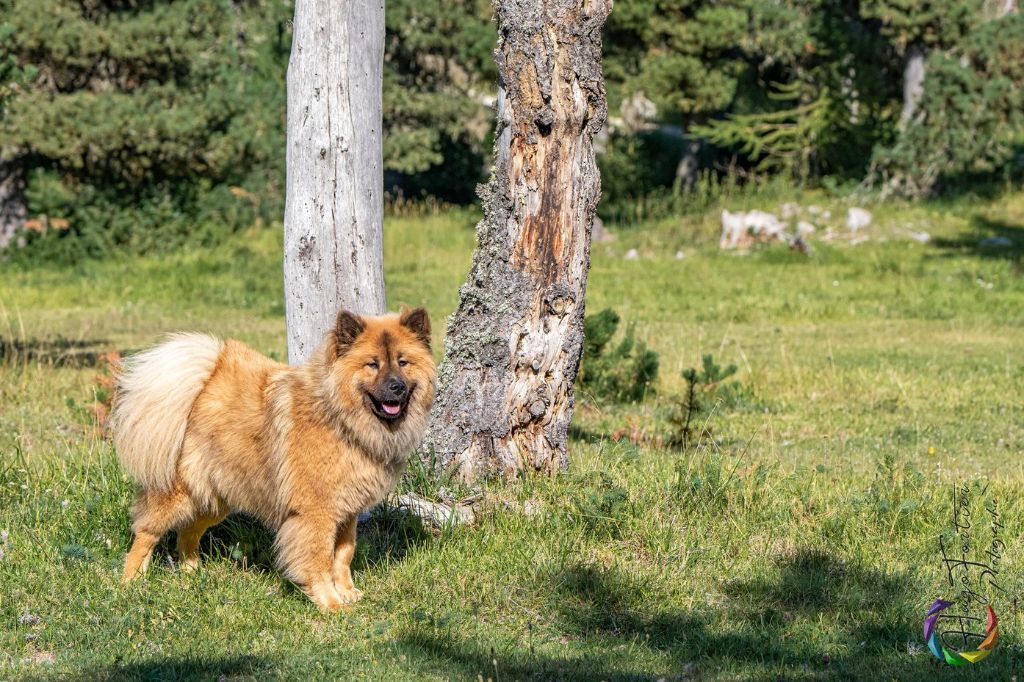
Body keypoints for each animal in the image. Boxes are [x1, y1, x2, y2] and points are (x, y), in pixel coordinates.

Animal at [110, 305, 434, 606]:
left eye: (403, 362)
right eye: (372, 364)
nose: (397, 387)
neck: (339, 419)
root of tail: (204, 383)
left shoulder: (347, 512)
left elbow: (343, 554)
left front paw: (347, 592)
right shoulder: (316, 513)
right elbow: (319, 560)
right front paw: (331, 604)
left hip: (218, 496)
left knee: (188, 532)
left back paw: (193, 573)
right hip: (180, 492)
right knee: (147, 531)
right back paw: (131, 581)